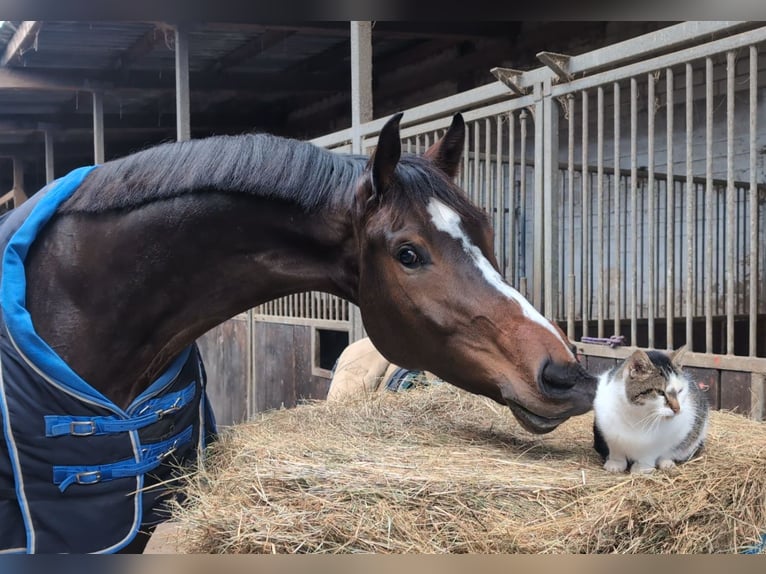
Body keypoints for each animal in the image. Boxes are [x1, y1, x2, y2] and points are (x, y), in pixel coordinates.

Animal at [592, 346, 712, 476]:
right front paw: (615, 464)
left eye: (680, 391)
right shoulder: (609, 432)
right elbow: (616, 450)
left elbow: (649, 454)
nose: (677, 409)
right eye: (660, 392)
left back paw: (666, 462)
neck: (638, 416)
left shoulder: (659, 442)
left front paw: (642, 468)